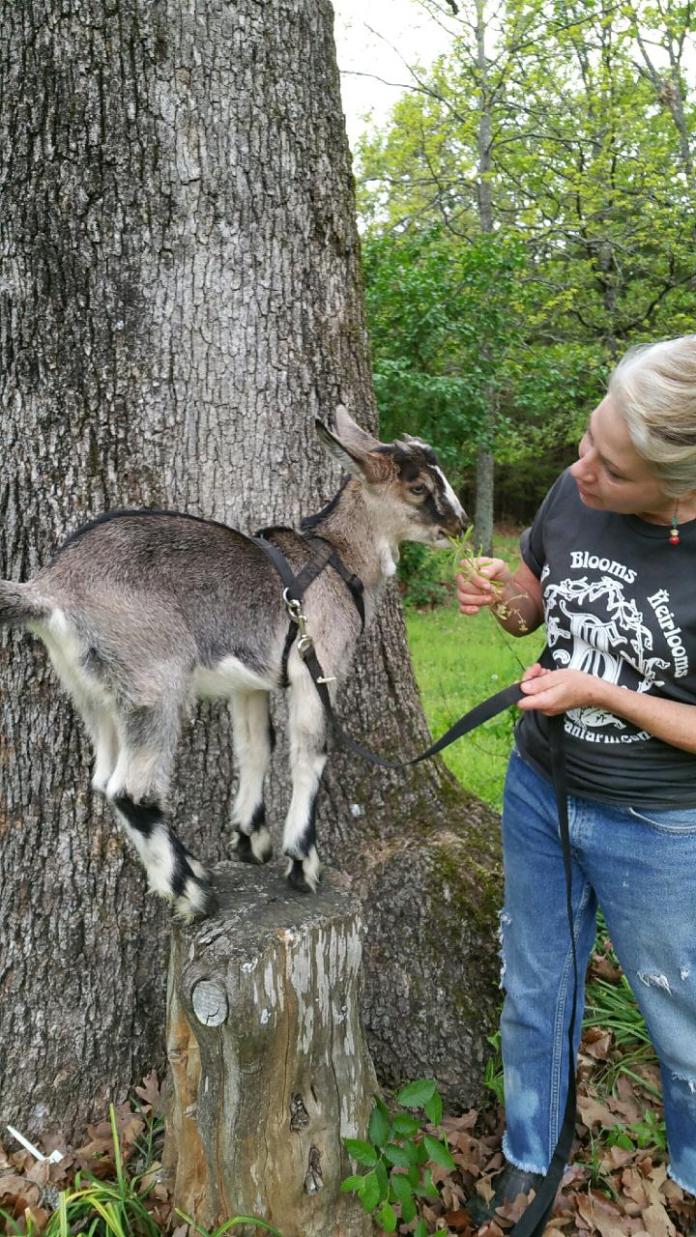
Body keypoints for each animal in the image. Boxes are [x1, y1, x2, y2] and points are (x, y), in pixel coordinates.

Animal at [0, 408, 466, 919]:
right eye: (418, 486)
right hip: (153, 678)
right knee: (131, 789)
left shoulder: (251, 680)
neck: (336, 559)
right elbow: (310, 751)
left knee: (103, 780)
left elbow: (254, 745)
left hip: (93, 692)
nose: (460, 525)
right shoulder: (315, 663)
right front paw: (302, 863)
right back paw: (192, 892)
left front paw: (250, 839)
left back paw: (192, 870)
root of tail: (50, 588)